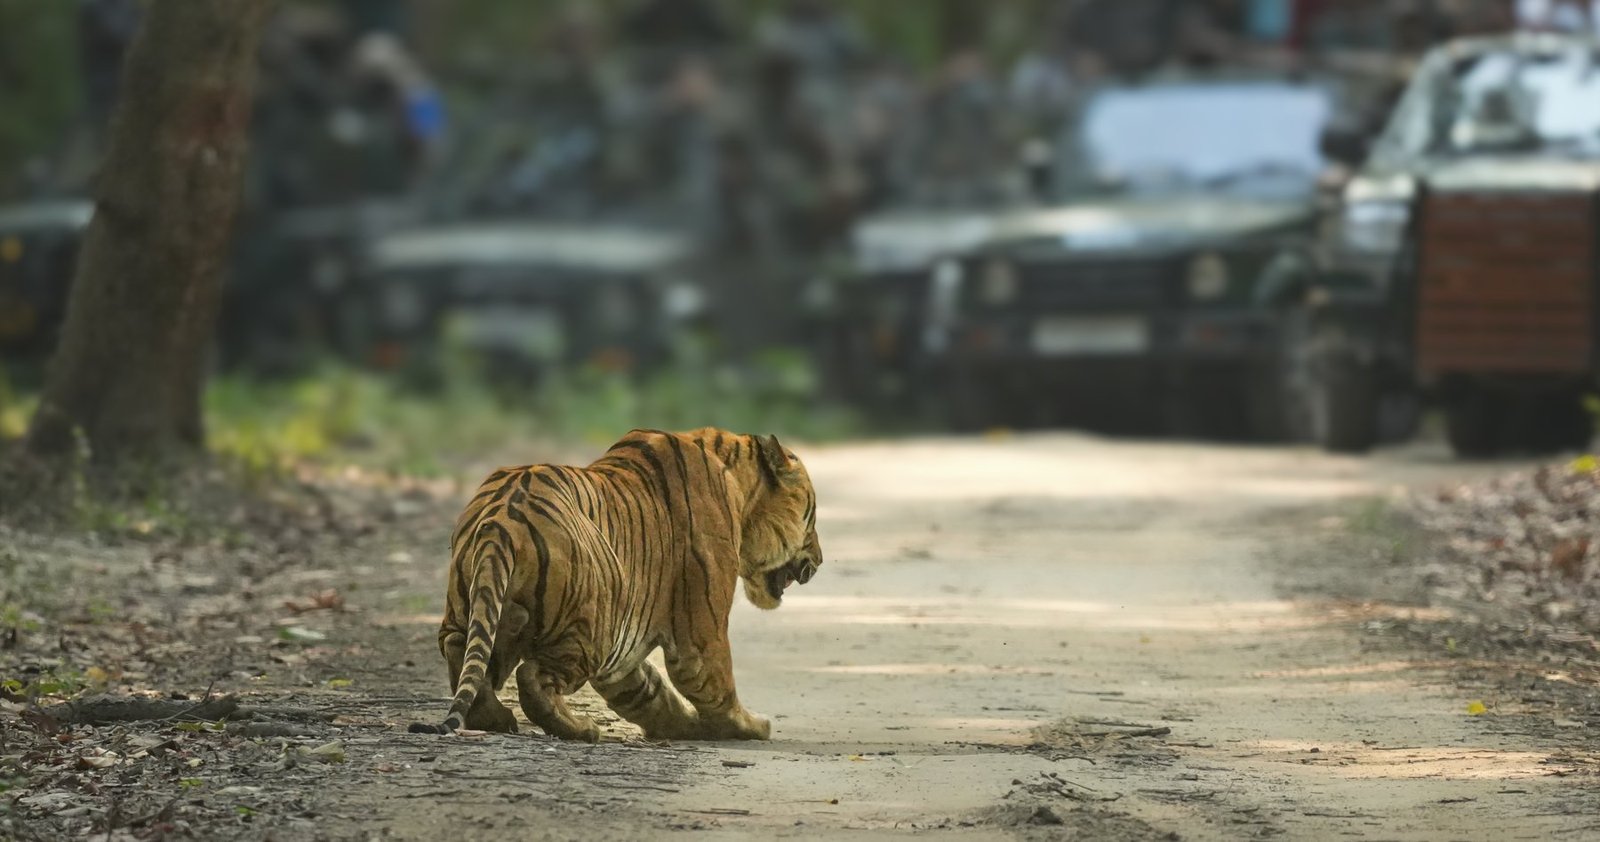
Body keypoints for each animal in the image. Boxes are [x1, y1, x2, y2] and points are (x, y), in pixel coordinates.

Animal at [410, 428, 822, 742]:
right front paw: (751, 726)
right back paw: (581, 728)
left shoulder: (622, 659)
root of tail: (501, 522)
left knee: (463, 658)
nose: (819, 560)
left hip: (475, 614)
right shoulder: (698, 635)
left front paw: (684, 727)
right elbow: (711, 682)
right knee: (533, 678)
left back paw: (499, 720)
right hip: (592, 627)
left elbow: (649, 694)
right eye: (812, 515)